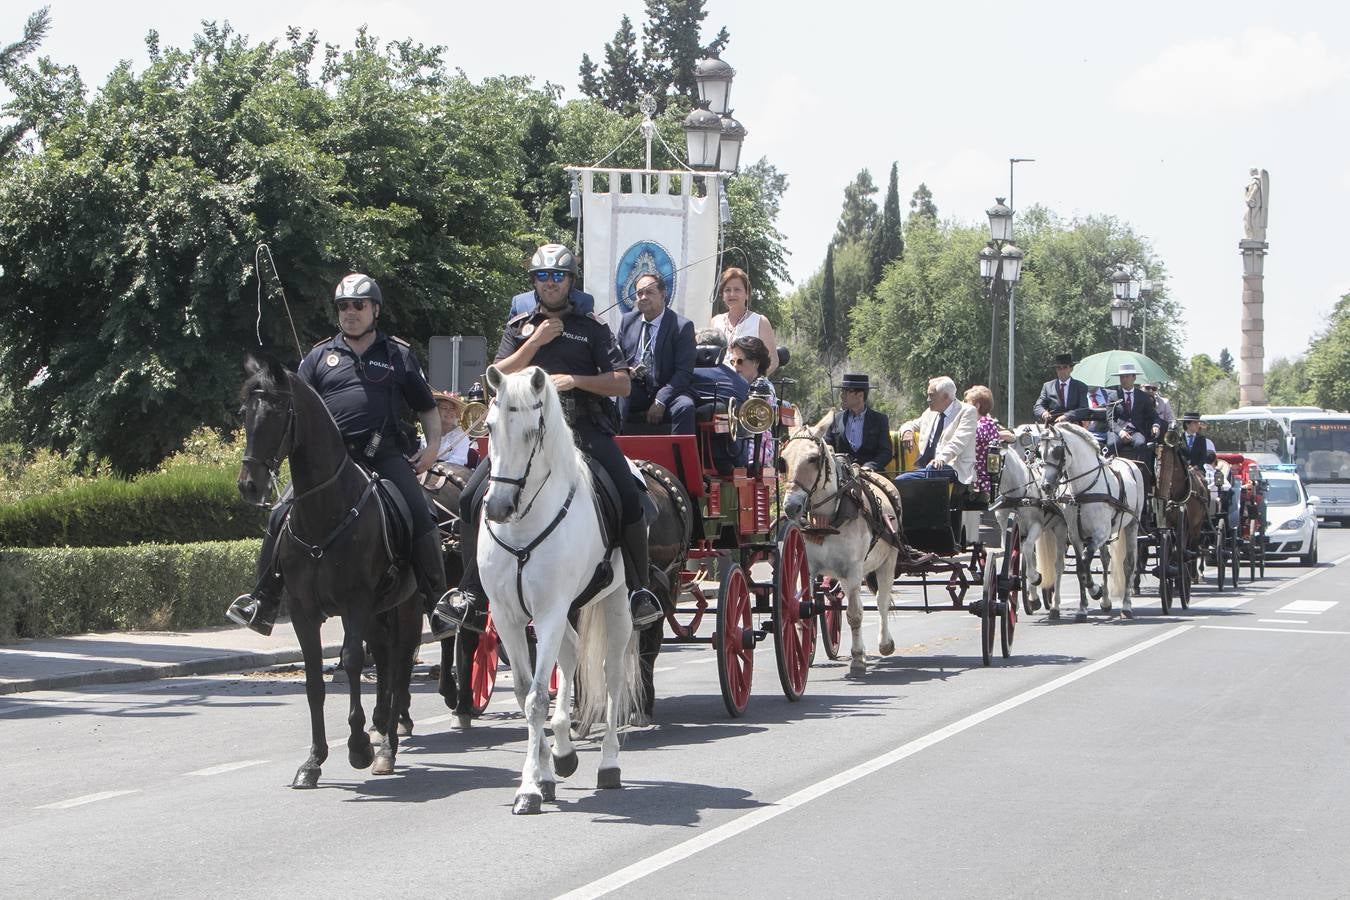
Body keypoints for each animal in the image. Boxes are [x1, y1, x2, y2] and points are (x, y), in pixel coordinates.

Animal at [234, 350, 418, 788]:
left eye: (278, 411)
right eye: (244, 413)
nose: (249, 485)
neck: (324, 511)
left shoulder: (356, 603)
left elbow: (350, 661)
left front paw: (358, 746)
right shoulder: (304, 612)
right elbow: (315, 680)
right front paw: (314, 760)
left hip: (404, 608)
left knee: (399, 664)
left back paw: (386, 744)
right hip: (378, 613)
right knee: (384, 659)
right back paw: (382, 728)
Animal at [477, 367, 639, 814]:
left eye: (533, 432)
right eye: (489, 427)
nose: (497, 508)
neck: (522, 526)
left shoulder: (548, 611)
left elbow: (536, 698)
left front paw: (529, 789)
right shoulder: (509, 616)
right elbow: (523, 693)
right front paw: (545, 772)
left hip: (616, 604)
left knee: (612, 675)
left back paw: (609, 764)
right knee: (570, 652)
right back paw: (564, 752)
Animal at [777, 423, 901, 674]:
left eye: (813, 458)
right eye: (783, 460)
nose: (791, 506)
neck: (826, 522)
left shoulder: (853, 569)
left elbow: (855, 615)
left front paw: (857, 658)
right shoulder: (808, 567)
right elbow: (803, 609)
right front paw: (802, 654)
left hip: (887, 562)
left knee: (882, 601)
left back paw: (885, 643)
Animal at [1036, 423, 1144, 620]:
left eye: (1057, 451)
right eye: (1039, 452)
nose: (1046, 486)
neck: (1084, 489)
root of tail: (1129, 462)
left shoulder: (1100, 533)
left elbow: (1086, 560)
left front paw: (1095, 590)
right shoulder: (1075, 535)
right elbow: (1081, 569)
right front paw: (1083, 608)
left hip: (1132, 525)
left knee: (1129, 564)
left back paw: (1126, 606)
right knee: (1105, 560)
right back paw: (1106, 602)